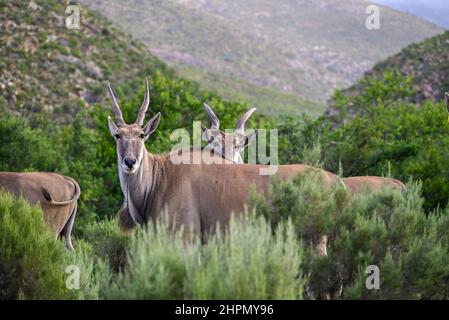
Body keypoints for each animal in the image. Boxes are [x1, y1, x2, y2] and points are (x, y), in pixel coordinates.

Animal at [106, 79, 344, 252]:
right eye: (118, 135)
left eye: (142, 135)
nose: (130, 162)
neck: (161, 176)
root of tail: (336, 181)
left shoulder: (186, 239)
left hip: (316, 241)